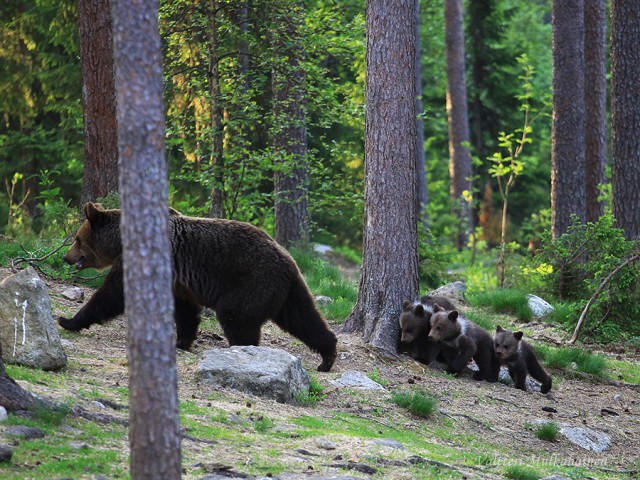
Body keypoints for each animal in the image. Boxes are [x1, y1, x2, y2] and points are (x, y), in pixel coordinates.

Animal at [59, 202, 338, 372]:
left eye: (77, 239)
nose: (66, 257)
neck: (121, 241)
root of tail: (288, 260)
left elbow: (112, 295)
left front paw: (69, 320)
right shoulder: (178, 280)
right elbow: (185, 312)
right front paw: (181, 341)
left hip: (250, 282)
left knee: (236, 318)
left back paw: (242, 352)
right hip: (289, 291)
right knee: (304, 319)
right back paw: (327, 356)